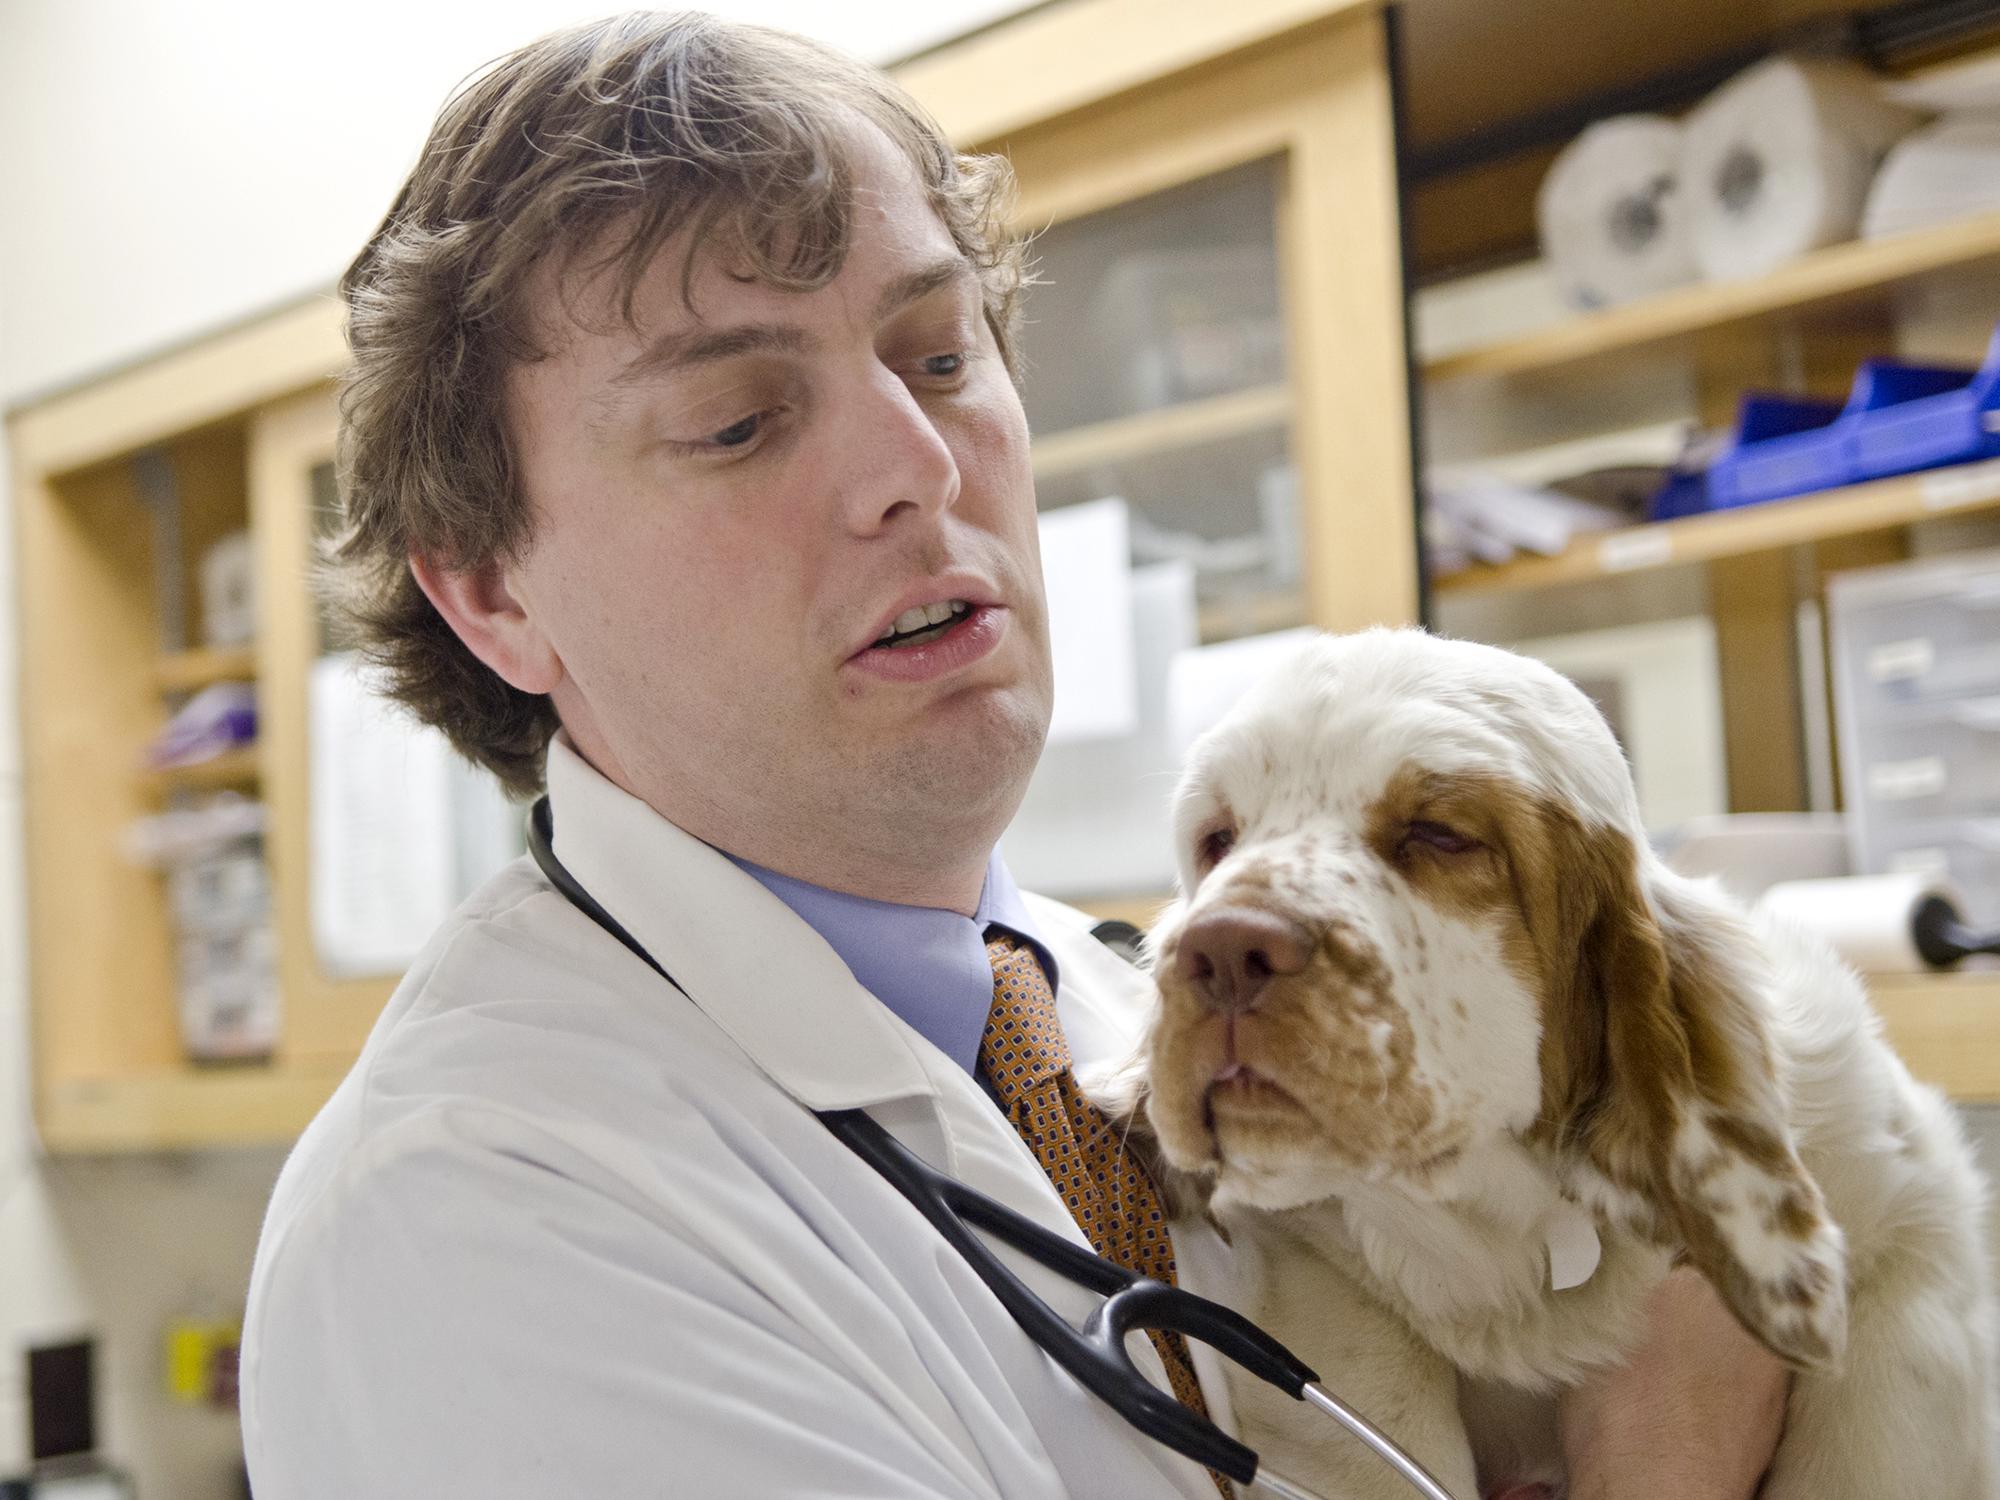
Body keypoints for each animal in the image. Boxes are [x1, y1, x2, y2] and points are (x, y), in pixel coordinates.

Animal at [1120, 628, 1992, 1496]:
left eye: (1439, 835)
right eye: (1219, 840)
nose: (1219, 951)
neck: (1513, 1232)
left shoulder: (1909, 1219)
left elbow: (1880, 1433)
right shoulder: (1315, 1280)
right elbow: (1379, 1406)